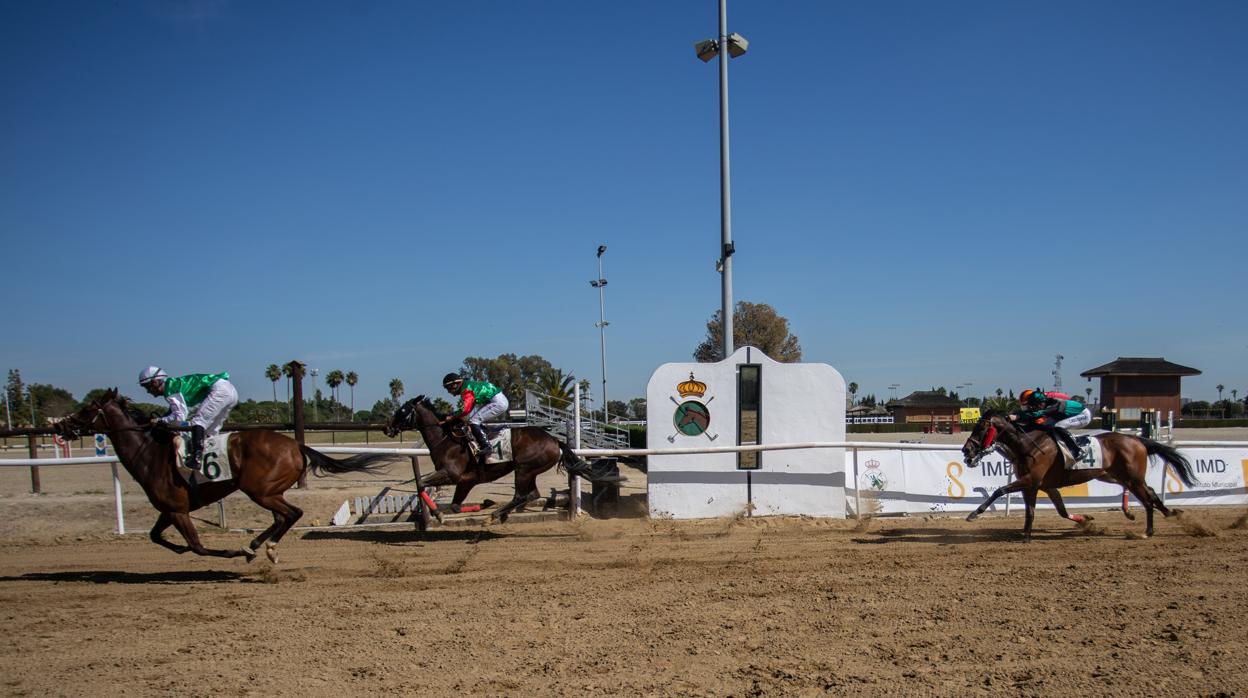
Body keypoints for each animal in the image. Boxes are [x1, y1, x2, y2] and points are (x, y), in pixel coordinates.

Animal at [54, 389, 389, 564]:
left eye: (87, 408)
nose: (60, 426)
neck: (150, 453)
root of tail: (295, 444)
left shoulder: (177, 510)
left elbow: (197, 546)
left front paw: (227, 550)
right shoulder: (170, 509)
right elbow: (155, 536)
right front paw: (180, 548)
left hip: (259, 490)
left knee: (292, 514)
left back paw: (259, 548)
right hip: (268, 490)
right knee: (283, 517)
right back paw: (258, 546)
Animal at [381, 397, 611, 521]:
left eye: (402, 410)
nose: (387, 427)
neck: (445, 439)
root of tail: (554, 439)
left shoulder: (452, 474)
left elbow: (421, 483)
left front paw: (438, 514)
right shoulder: (465, 481)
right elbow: (453, 505)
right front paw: (479, 505)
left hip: (524, 469)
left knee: (520, 495)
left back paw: (495, 514)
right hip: (529, 470)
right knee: (532, 494)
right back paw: (499, 513)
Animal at [958, 412, 1193, 544]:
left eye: (981, 428)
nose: (966, 450)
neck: (1027, 447)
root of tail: (1137, 440)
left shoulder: (1031, 481)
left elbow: (1000, 491)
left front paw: (974, 514)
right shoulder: (1040, 486)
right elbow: (1051, 511)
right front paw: (1027, 535)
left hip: (1132, 477)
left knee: (1148, 498)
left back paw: (1150, 529)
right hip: (1115, 475)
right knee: (1150, 493)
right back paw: (1164, 515)